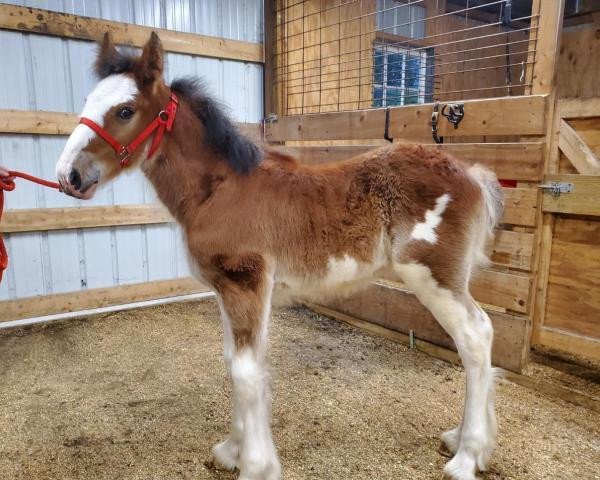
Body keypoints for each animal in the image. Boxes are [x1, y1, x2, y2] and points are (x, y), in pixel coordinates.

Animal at [56, 31, 504, 478]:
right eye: (88, 102)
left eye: (125, 110)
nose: (68, 176)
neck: (220, 190)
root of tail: (471, 174)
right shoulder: (228, 290)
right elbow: (234, 362)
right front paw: (231, 450)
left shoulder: (246, 283)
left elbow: (246, 371)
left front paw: (255, 464)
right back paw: (465, 442)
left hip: (434, 276)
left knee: (475, 338)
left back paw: (467, 456)